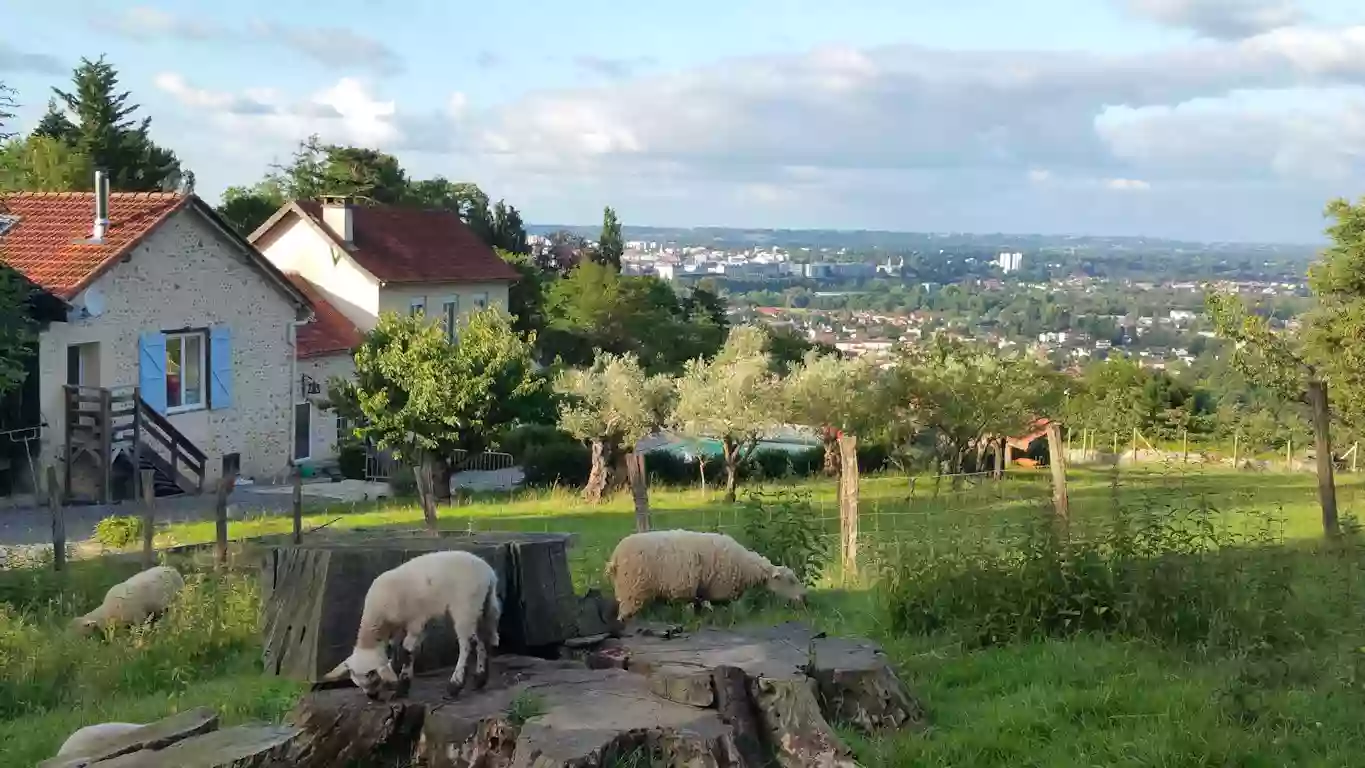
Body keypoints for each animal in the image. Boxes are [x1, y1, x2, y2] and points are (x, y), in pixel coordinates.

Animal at [323, 551, 502, 698]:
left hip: (464, 606)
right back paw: (480, 678)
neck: (380, 617)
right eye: (357, 682)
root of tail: (489, 574)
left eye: (373, 678)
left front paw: (402, 686)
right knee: (481, 638)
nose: (371, 697)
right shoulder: (397, 628)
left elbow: (407, 650)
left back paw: (455, 685)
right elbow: (395, 650)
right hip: (481, 606)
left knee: (467, 643)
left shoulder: (416, 621)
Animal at [603, 532, 802, 622]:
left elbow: (699, 607)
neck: (747, 567)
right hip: (632, 590)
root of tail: (615, 557)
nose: (803, 598)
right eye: (790, 581)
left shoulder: (702, 590)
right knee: (624, 614)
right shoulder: (719, 590)